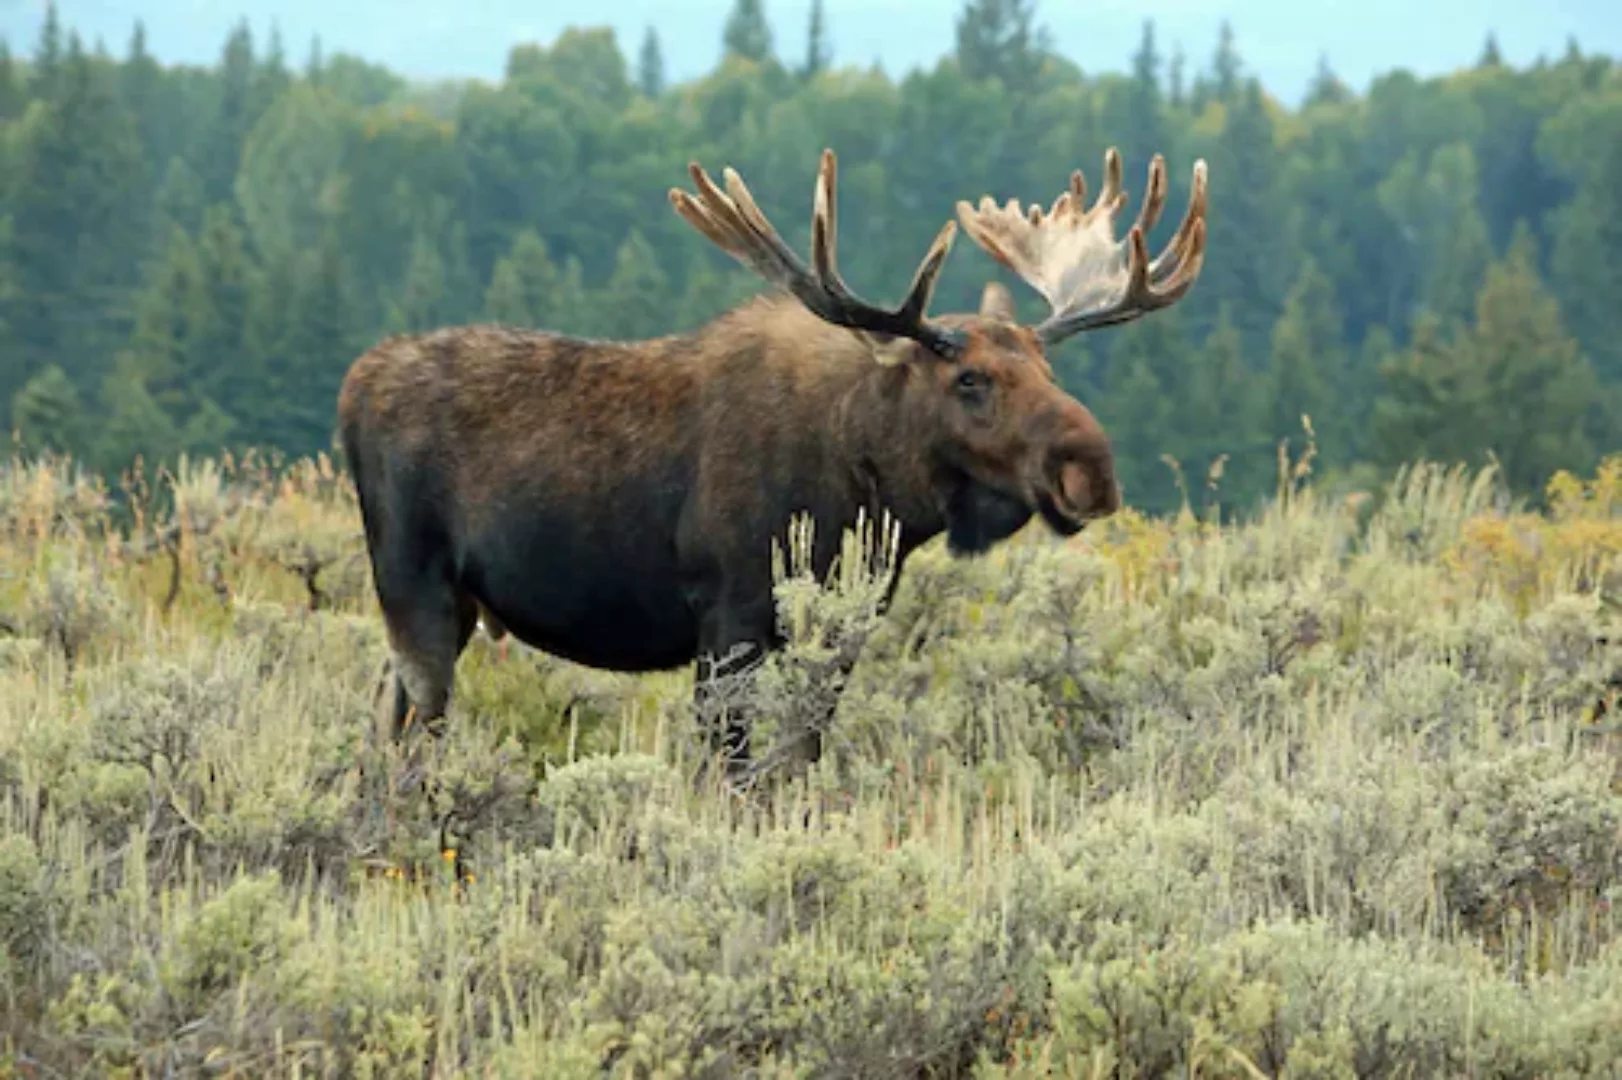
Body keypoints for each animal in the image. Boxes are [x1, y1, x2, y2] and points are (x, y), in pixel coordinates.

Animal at [338, 142, 1206, 778]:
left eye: (1048, 369)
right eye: (970, 379)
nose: (1090, 470)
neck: (869, 491)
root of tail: (353, 386)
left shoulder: (842, 625)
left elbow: (798, 759)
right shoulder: (730, 613)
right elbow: (733, 768)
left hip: (455, 604)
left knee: (385, 710)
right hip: (413, 580)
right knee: (415, 720)